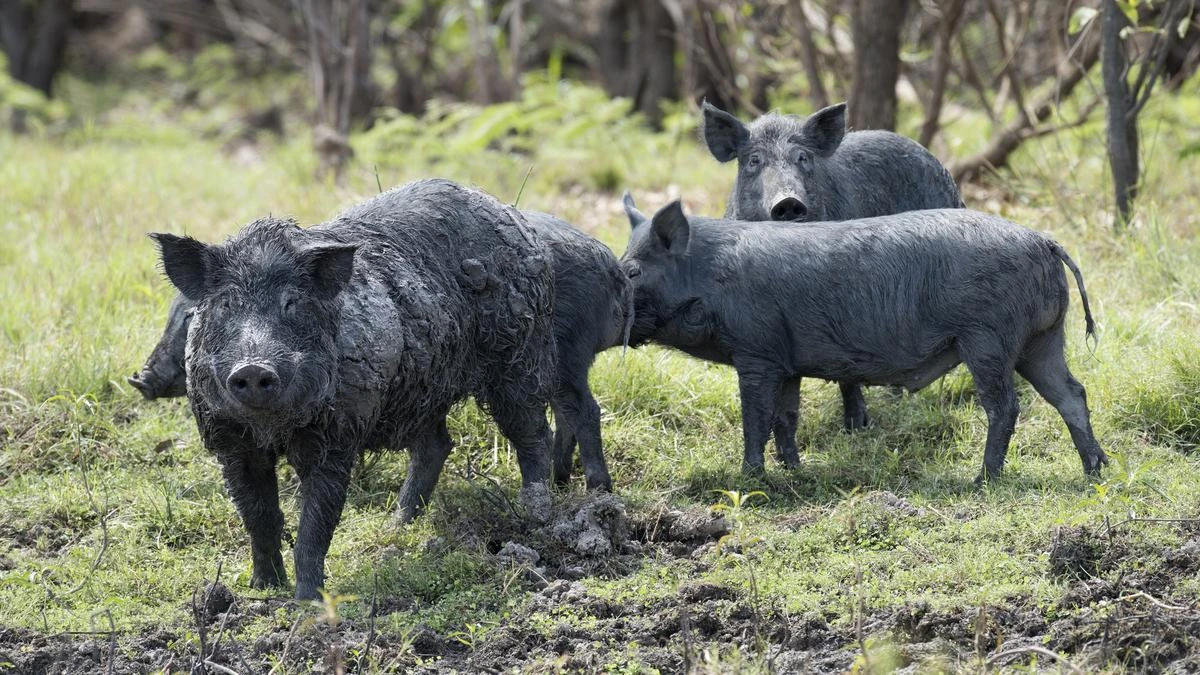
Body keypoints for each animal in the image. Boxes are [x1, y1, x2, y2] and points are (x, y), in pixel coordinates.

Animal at [131, 210, 630, 494]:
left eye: (189, 318)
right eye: (208, 312)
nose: (140, 378)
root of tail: (610, 263)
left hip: (547, 358)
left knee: (575, 412)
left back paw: (586, 494)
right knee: (441, 444)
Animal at [149, 179, 558, 600]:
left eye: (292, 303)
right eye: (226, 303)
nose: (253, 367)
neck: (272, 429)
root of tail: (511, 215)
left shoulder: (337, 436)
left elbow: (315, 525)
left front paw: (307, 601)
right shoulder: (230, 442)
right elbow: (259, 518)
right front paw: (263, 588)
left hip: (518, 355)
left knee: (533, 432)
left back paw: (537, 515)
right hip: (424, 389)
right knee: (437, 445)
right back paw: (399, 525)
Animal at [621, 196, 1107, 483]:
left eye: (632, 270)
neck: (708, 277)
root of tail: (1044, 241)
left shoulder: (756, 352)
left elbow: (755, 418)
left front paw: (750, 479)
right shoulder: (786, 361)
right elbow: (786, 418)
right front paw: (795, 472)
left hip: (988, 338)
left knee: (1005, 405)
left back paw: (982, 480)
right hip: (1041, 340)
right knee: (1072, 393)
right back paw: (1097, 470)